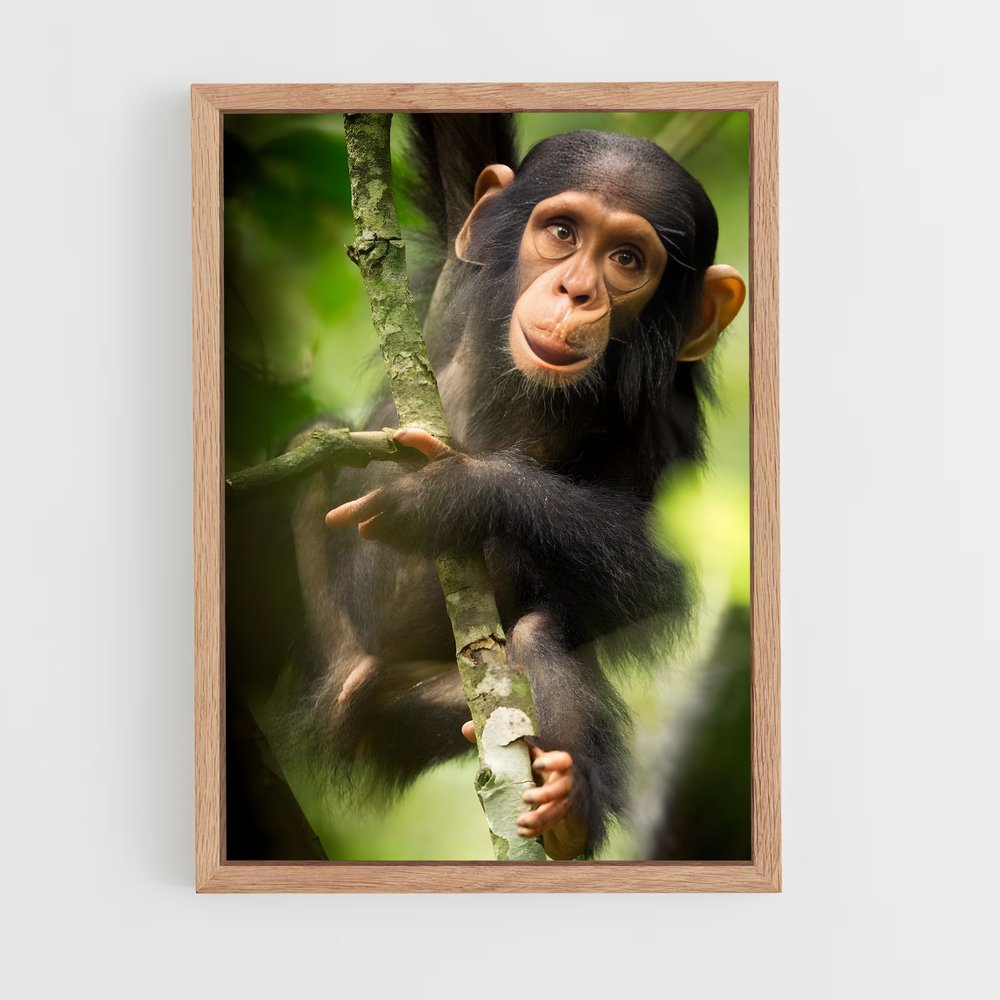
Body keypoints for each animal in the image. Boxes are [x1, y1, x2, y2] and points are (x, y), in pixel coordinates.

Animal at [281, 115, 746, 860]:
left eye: (627, 260)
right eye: (561, 233)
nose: (576, 291)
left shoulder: (661, 425)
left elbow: (657, 568)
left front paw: (454, 493)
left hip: (420, 712)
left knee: (536, 638)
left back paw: (567, 804)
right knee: (313, 445)